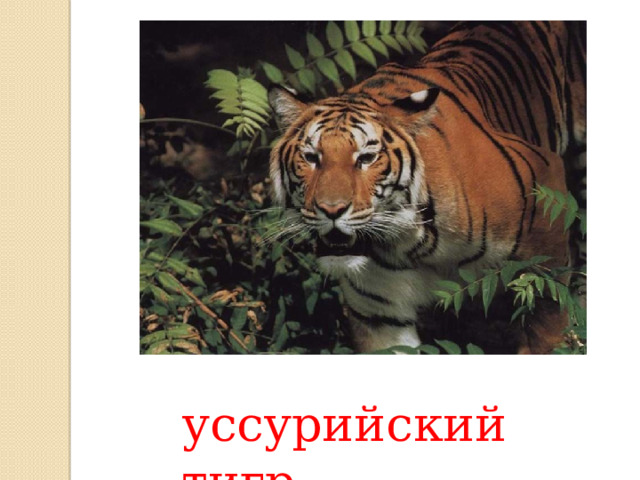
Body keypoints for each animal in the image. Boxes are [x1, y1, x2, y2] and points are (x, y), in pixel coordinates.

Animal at [267, 21, 586, 353]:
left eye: (366, 158)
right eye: (311, 157)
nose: (331, 210)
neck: (413, 245)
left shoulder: (546, 254)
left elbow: (545, 331)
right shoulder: (381, 316)